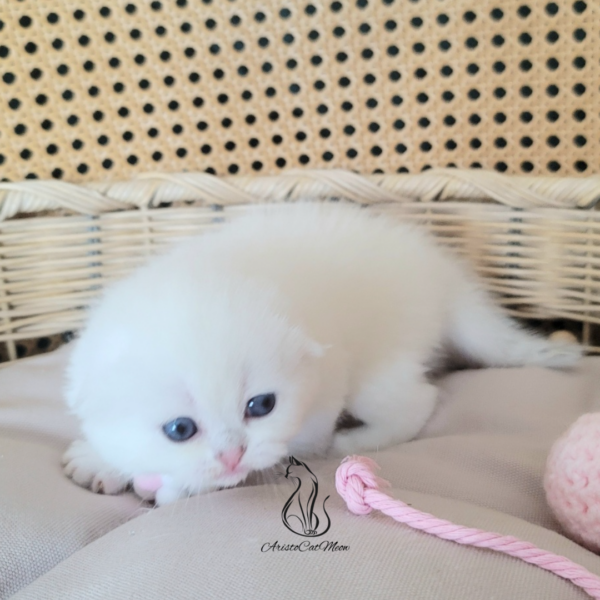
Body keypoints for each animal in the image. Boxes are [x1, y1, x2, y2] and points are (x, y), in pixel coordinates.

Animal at [64, 202, 580, 502]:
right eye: (180, 429)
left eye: (261, 406)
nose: (232, 455)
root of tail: (442, 273)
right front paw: (101, 459)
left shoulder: (322, 394)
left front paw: (171, 486)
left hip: (381, 363)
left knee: (418, 402)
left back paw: (354, 442)